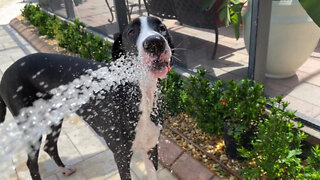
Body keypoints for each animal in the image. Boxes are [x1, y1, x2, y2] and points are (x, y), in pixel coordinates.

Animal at [0, 16, 172, 179]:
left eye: (162, 28)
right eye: (132, 31)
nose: (155, 43)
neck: (140, 94)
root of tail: (6, 72)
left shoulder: (151, 148)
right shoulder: (121, 155)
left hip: (54, 117)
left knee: (49, 146)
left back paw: (65, 169)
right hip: (30, 126)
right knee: (31, 163)